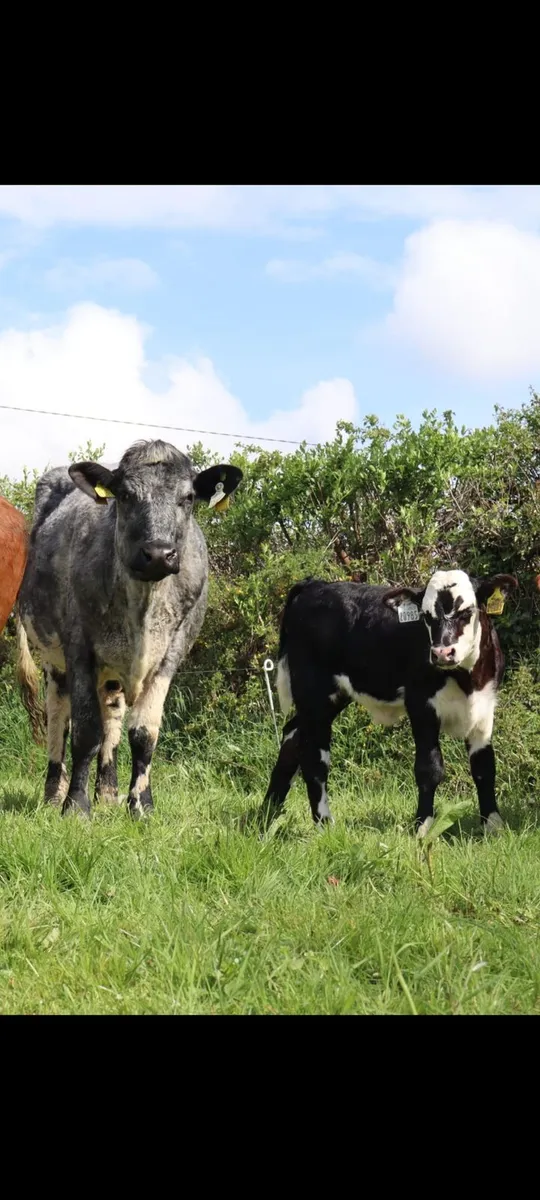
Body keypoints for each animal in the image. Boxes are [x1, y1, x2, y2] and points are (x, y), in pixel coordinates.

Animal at [16, 439, 242, 817]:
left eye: (188, 498)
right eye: (124, 496)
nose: (158, 553)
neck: (143, 610)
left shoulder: (170, 655)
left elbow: (143, 733)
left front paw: (141, 805)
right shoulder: (79, 647)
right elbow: (85, 731)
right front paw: (75, 806)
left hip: (111, 674)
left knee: (111, 719)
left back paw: (108, 793)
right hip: (53, 659)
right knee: (58, 718)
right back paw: (53, 794)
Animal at [259, 569, 517, 837]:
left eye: (467, 613)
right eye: (426, 616)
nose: (442, 653)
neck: (466, 680)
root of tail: (314, 584)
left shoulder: (484, 707)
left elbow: (484, 768)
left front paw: (493, 825)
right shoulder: (421, 705)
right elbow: (429, 769)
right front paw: (422, 827)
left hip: (329, 699)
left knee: (292, 737)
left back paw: (266, 817)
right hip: (314, 694)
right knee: (313, 758)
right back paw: (324, 824)